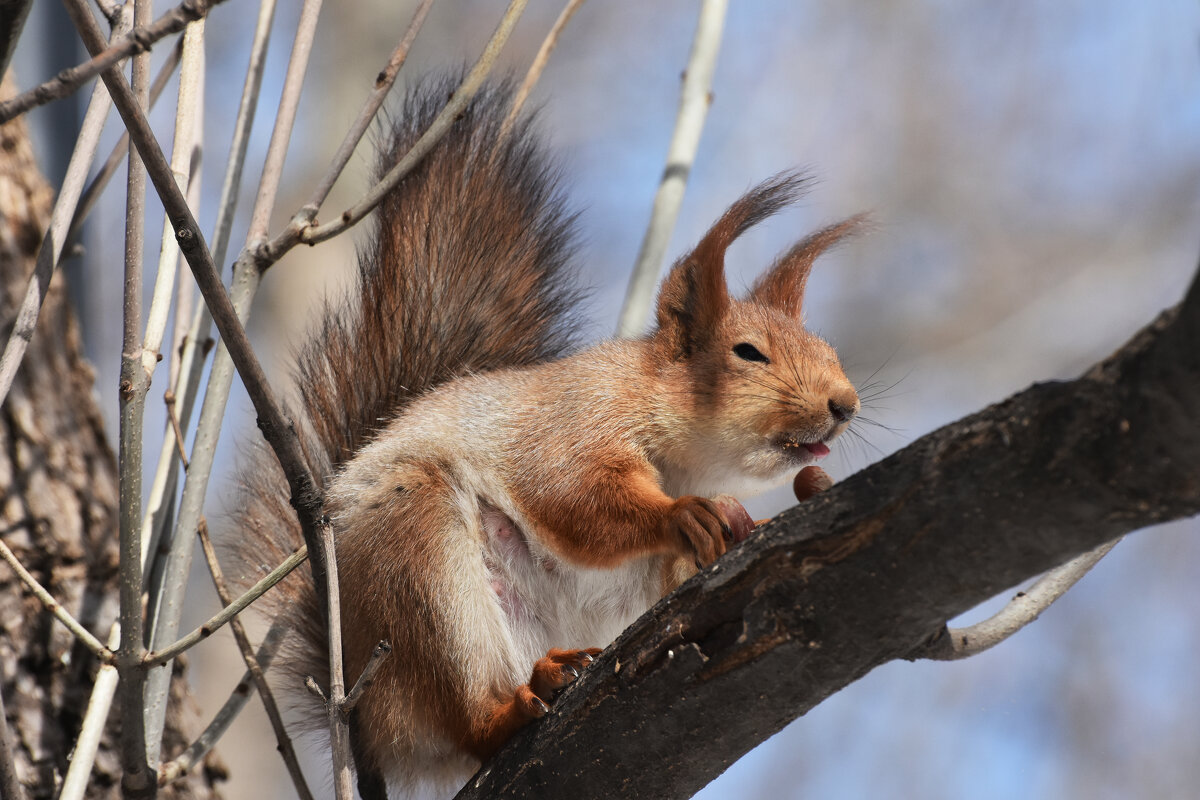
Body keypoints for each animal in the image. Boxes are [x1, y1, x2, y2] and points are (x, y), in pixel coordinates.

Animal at [225, 76, 864, 800]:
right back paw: (522, 700)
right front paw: (682, 515)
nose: (845, 405)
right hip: (420, 569)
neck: (684, 457)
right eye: (748, 352)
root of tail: (359, 720)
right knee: (470, 718)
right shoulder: (575, 422)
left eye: (827, 350)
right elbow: (574, 496)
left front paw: (753, 516)